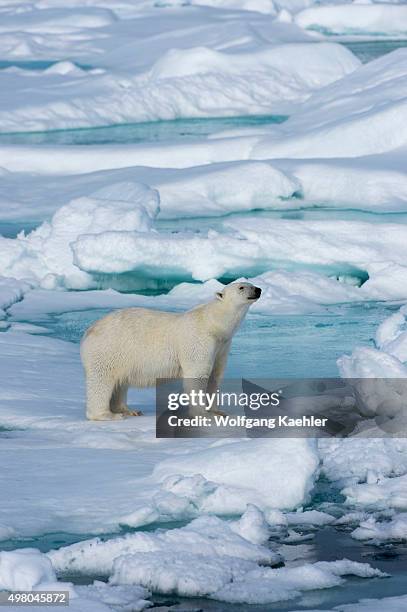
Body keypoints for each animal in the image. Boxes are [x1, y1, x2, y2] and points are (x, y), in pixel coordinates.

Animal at [81, 282, 262, 420]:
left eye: (251, 283)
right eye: (241, 287)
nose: (258, 290)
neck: (213, 324)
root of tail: (88, 333)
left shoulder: (222, 346)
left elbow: (215, 376)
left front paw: (217, 411)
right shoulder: (199, 341)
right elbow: (198, 374)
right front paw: (203, 414)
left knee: (120, 382)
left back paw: (129, 410)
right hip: (108, 350)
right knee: (102, 380)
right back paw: (108, 415)